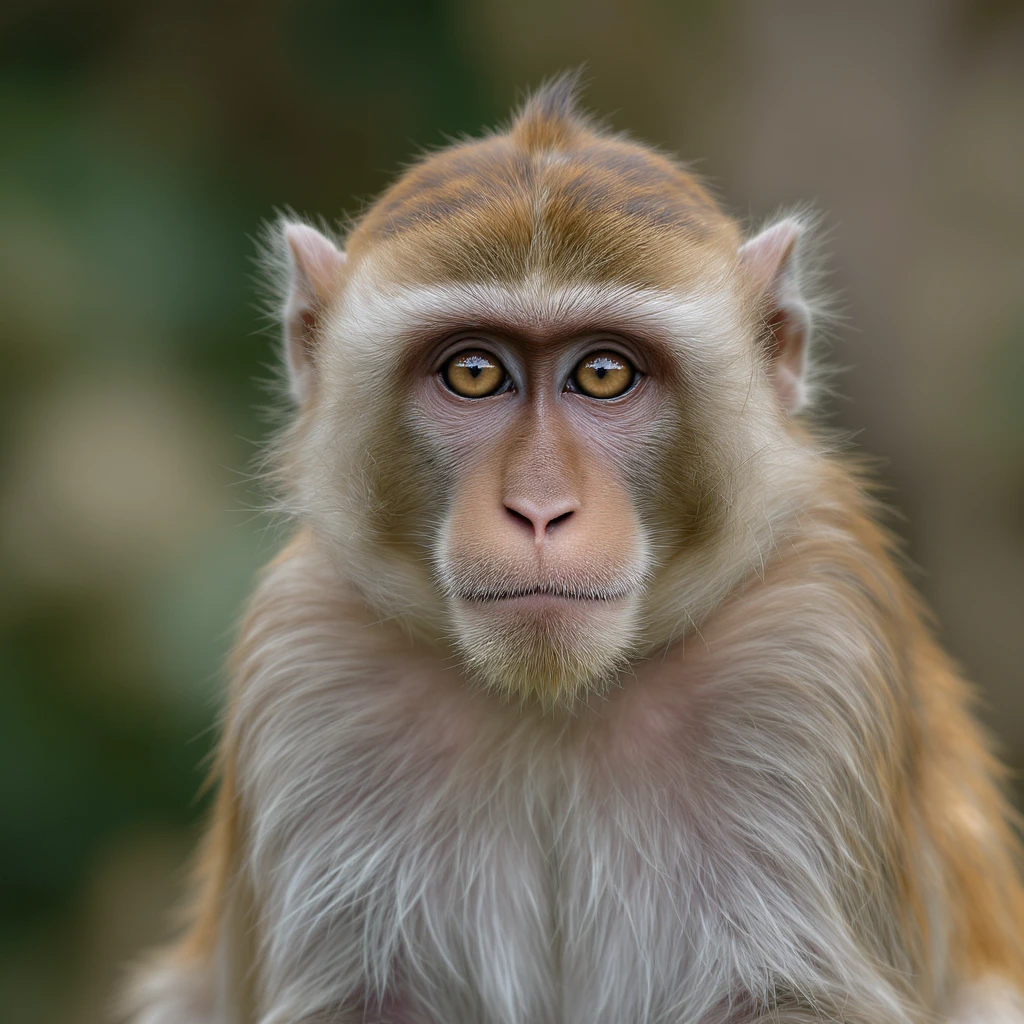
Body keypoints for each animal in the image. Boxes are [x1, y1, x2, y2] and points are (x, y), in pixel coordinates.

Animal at [124, 77, 1024, 1024]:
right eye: (474, 372)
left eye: (603, 373)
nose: (539, 508)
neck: (553, 706)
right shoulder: (307, 665)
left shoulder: (813, 650)